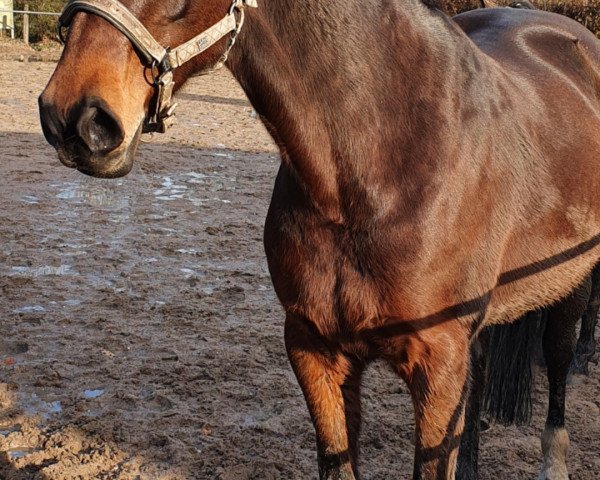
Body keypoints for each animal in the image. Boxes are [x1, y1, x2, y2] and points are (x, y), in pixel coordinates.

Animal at [37, 0, 600, 478]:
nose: (73, 117)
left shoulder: (439, 362)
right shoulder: (314, 348)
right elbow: (339, 457)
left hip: (569, 283)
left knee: (557, 357)